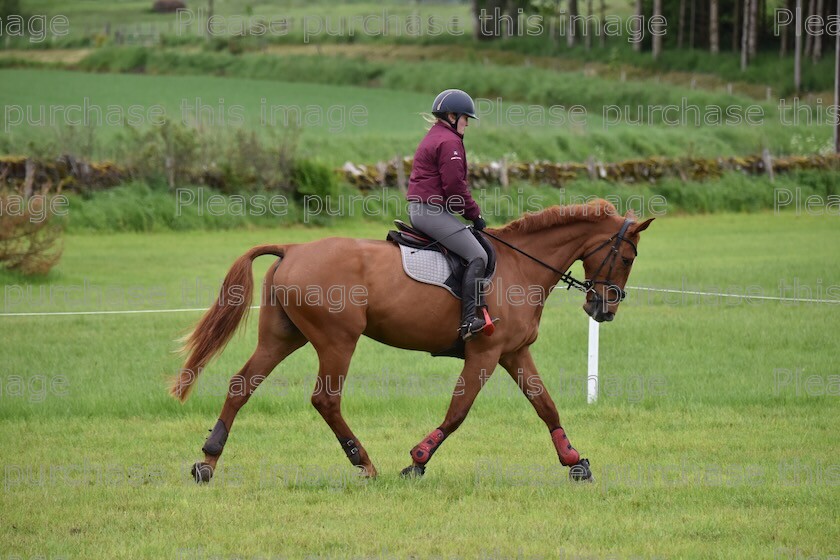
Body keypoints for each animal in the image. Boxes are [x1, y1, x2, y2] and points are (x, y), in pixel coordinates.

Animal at [171, 199, 652, 484]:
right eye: (628, 256)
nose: (604, 309)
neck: (521, 265)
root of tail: (293, 248)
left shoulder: (514, 352)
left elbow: (545, 405)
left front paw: (575, 461)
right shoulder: (486, 352)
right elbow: (458, 412)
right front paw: (417, 459)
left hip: (283, 337)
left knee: (241, 385)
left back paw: (207, 461)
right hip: (337, 341)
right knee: (325, 400)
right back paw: (364, 463)